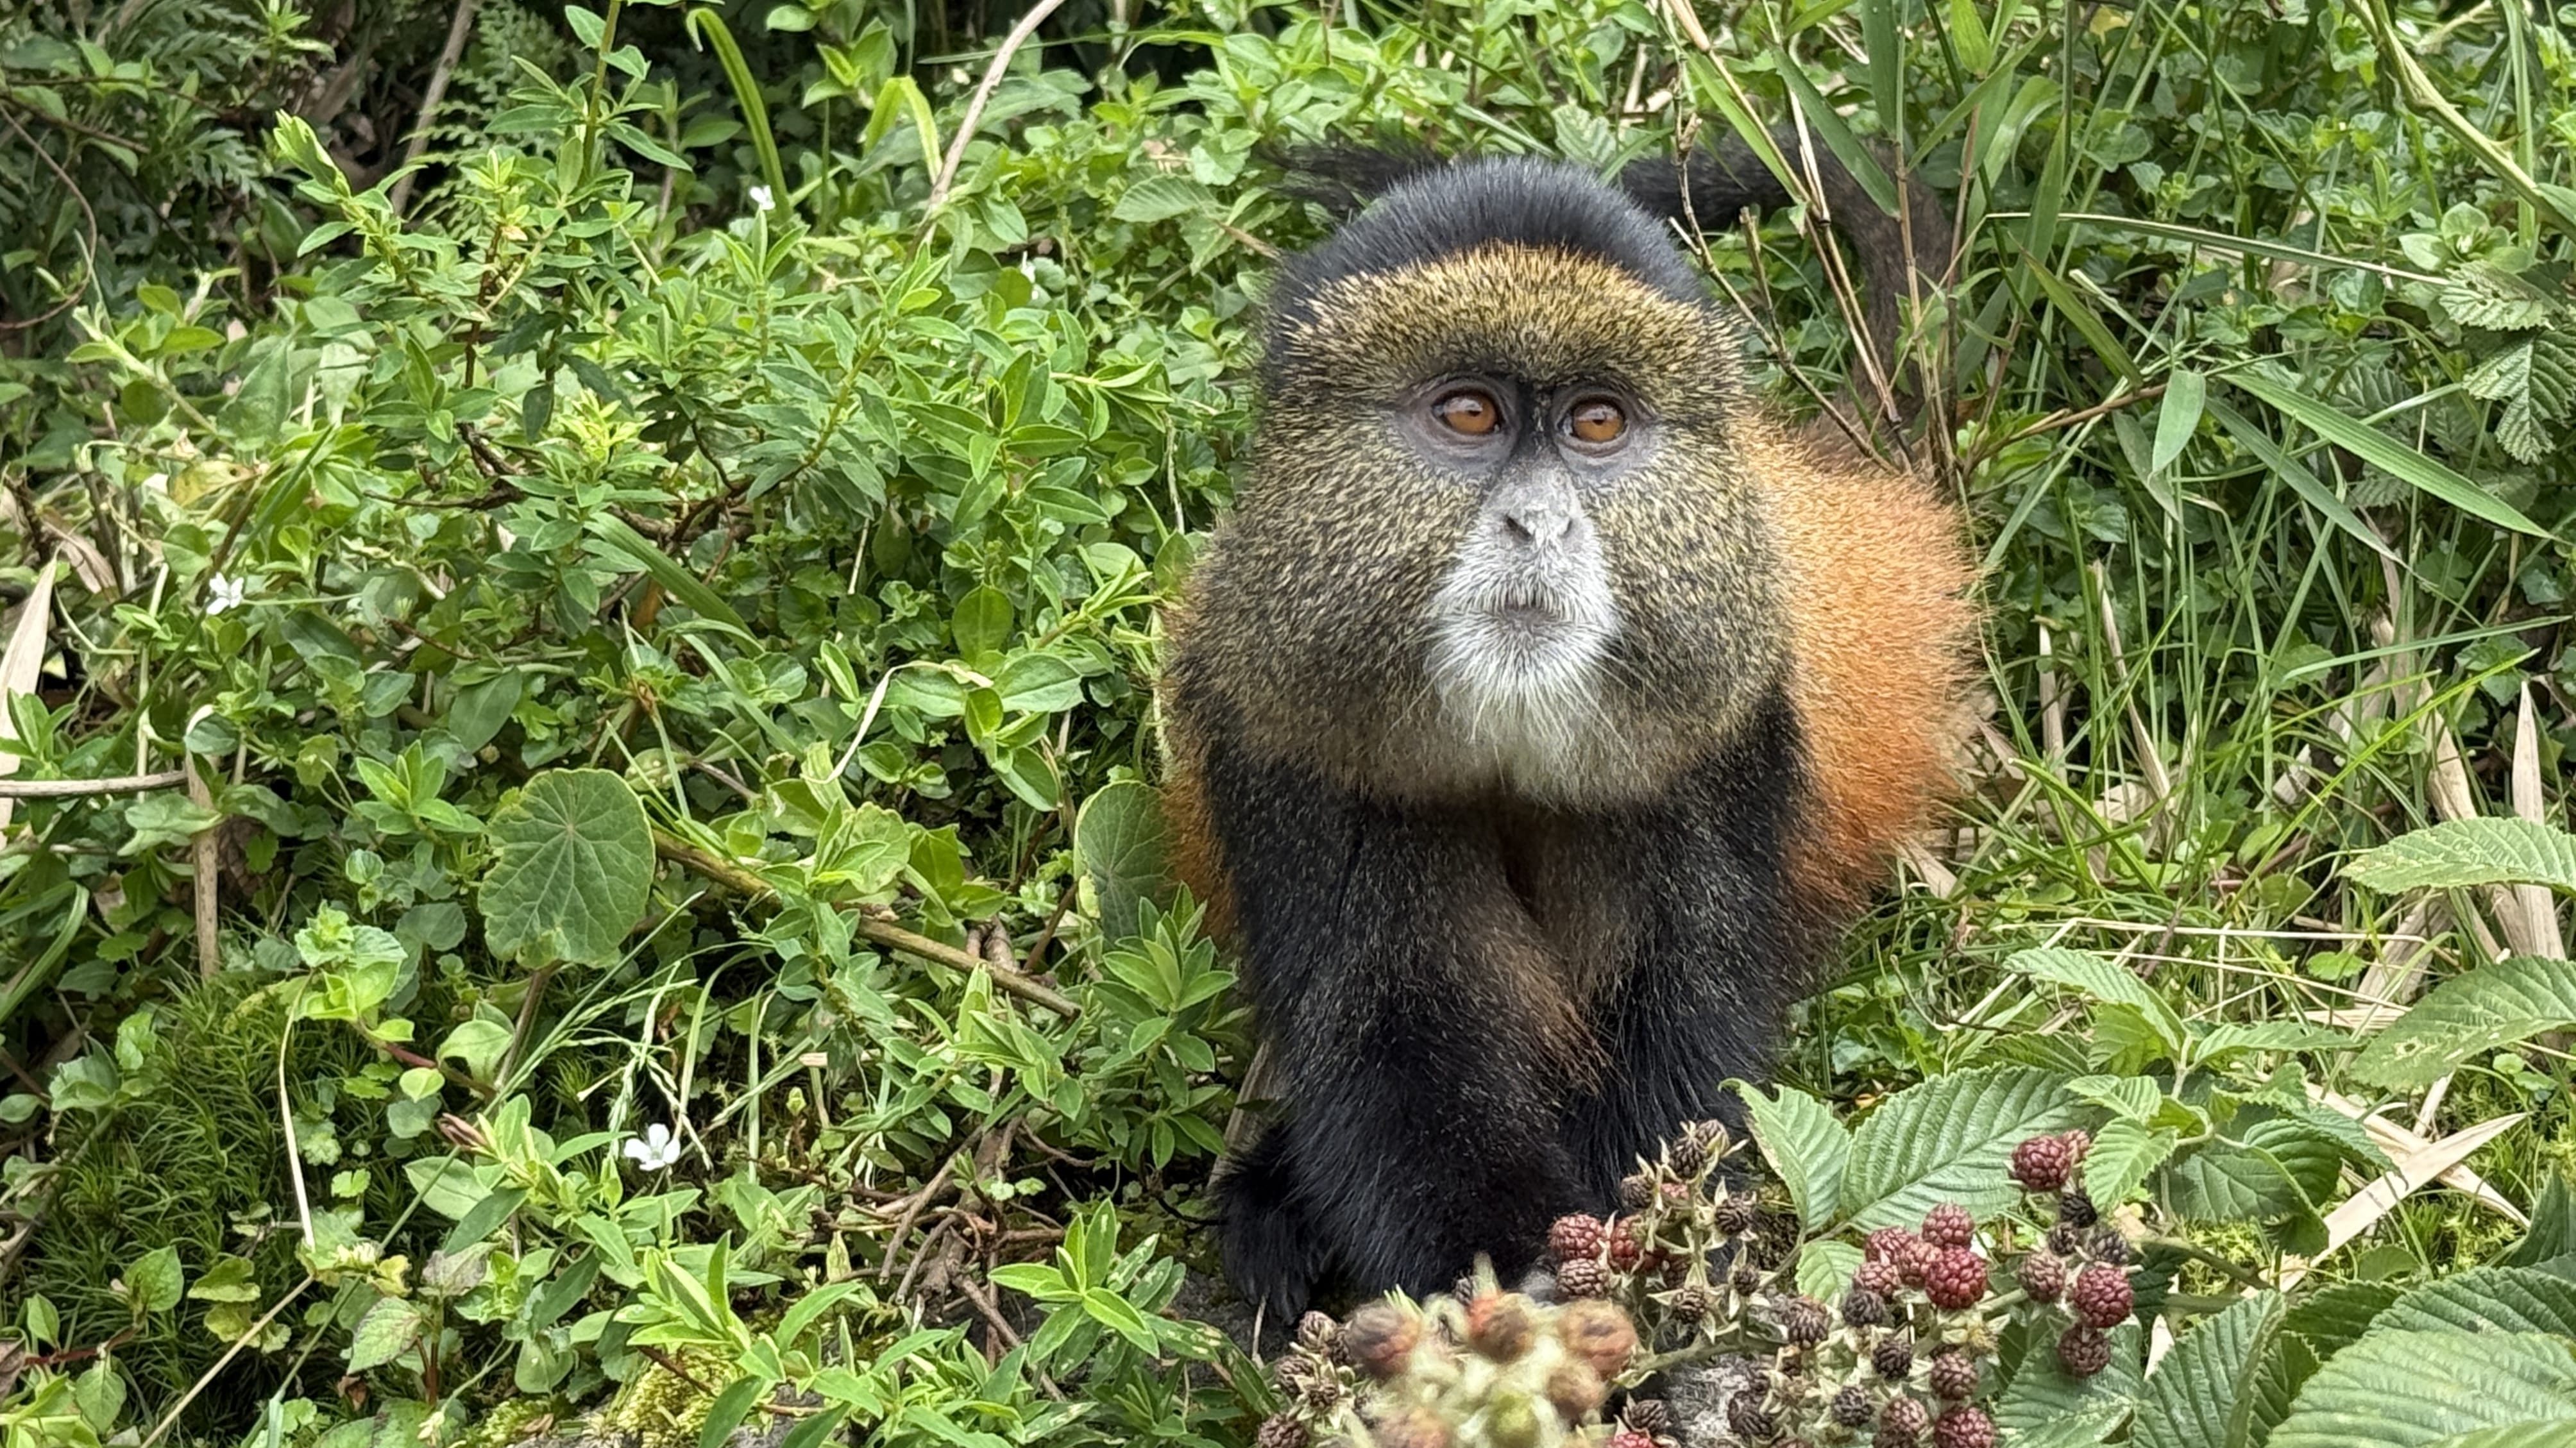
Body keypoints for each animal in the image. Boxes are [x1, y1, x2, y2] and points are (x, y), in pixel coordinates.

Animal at [1156, 133, 1978, 1322]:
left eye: (1598, 422)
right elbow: (1394, 1035)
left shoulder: (1720, 750)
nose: (1538, 522)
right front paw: (1511, 1271)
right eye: (1469, 415)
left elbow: (1675, 1036)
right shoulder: (1293, 751)